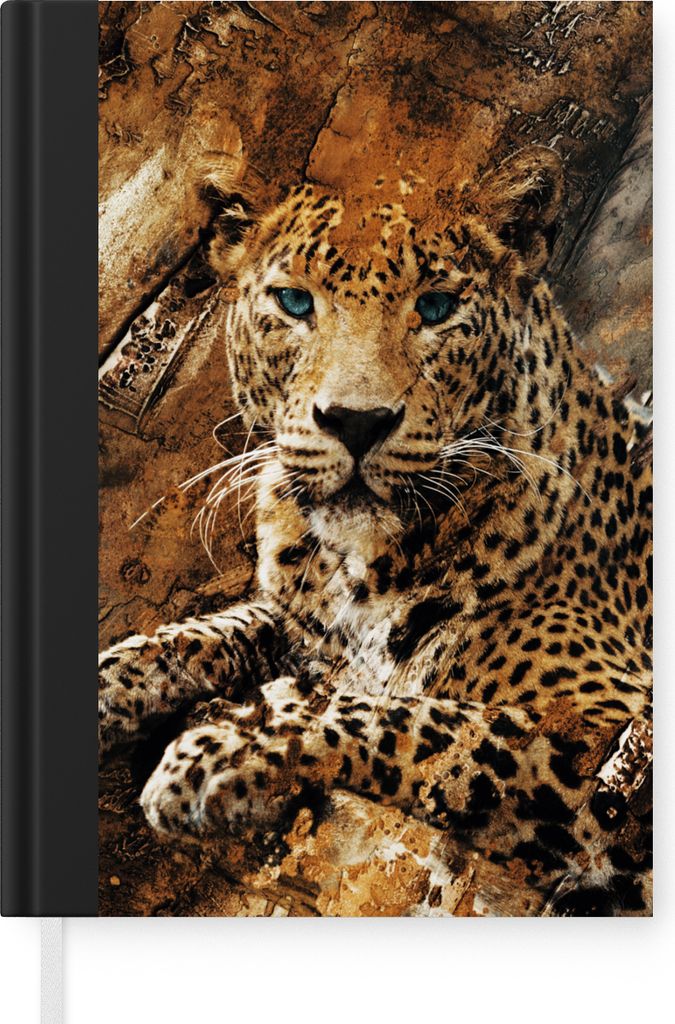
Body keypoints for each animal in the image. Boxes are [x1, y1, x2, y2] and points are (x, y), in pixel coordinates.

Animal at [99, 146, 653, 916]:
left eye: (437, 308)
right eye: (294, 303)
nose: (356, 422)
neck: (360, 568)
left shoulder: (607, 738)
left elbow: (419, 723)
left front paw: (218, 754)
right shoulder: (298, 622)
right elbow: (201, 634)